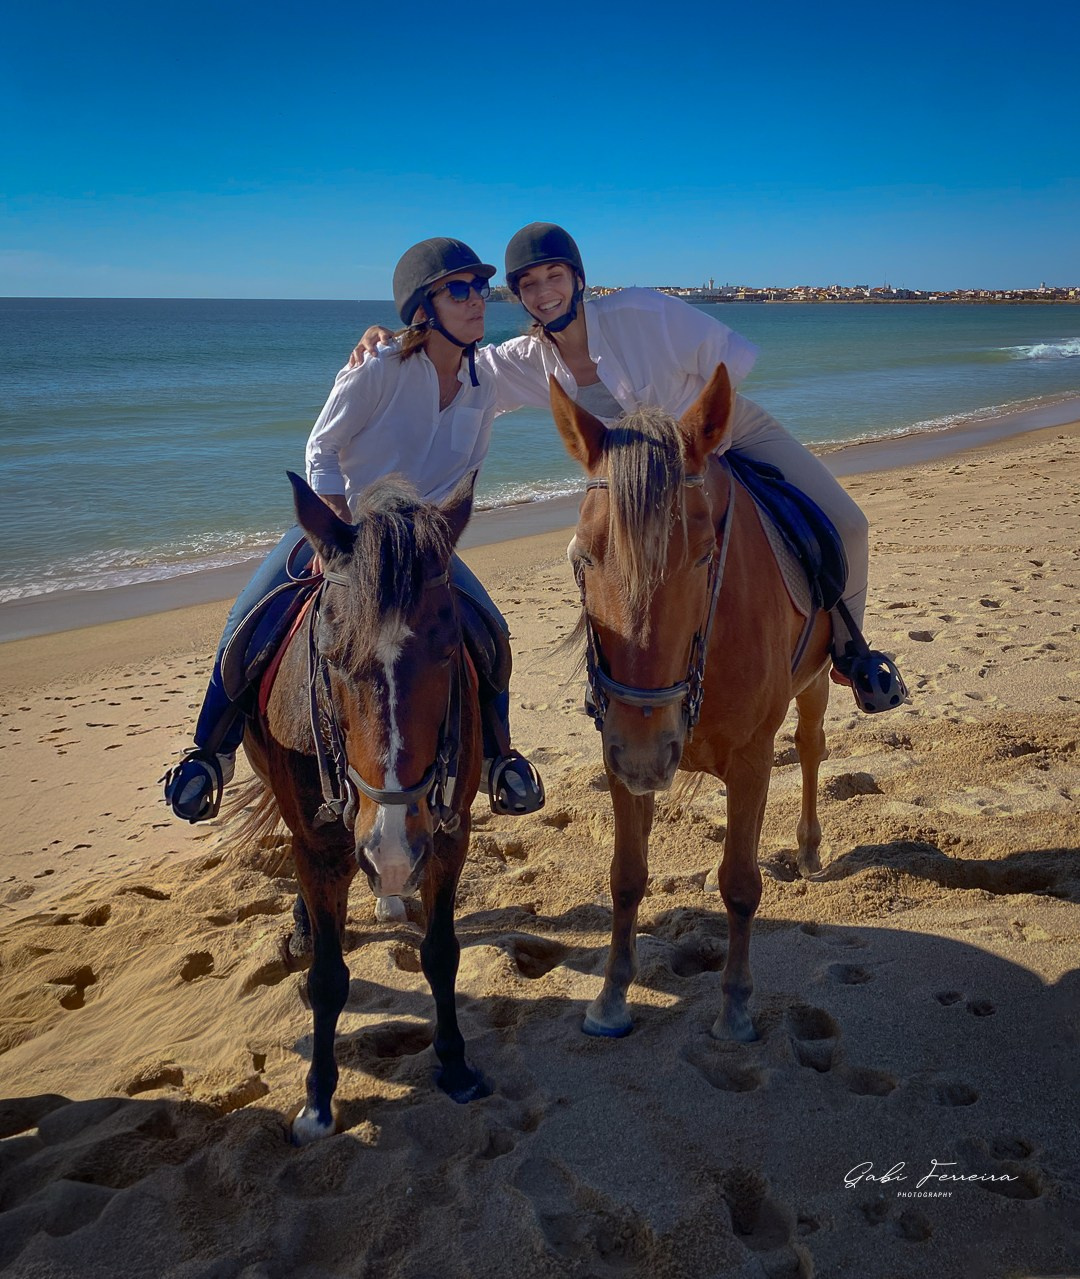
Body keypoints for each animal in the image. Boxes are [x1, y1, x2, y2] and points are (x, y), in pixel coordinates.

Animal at [242, 470, 490, 1143]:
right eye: (329, 655)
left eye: (449, 648)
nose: (392, 849)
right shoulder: (319, 848)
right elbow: (328, 980)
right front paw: (318, 1102)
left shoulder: (448, 836)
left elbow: (441, 954)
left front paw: (455, 1065)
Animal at [550, 364, 833, 1042]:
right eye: (582, 556)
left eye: (705, 555)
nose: (647, 752)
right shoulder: (618, 756)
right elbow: (626, 877)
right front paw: (610, 997)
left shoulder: (753, 760)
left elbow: (740, 883)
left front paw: (734, 1006)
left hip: (815, 682)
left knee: (811, 749)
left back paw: (809, 848)